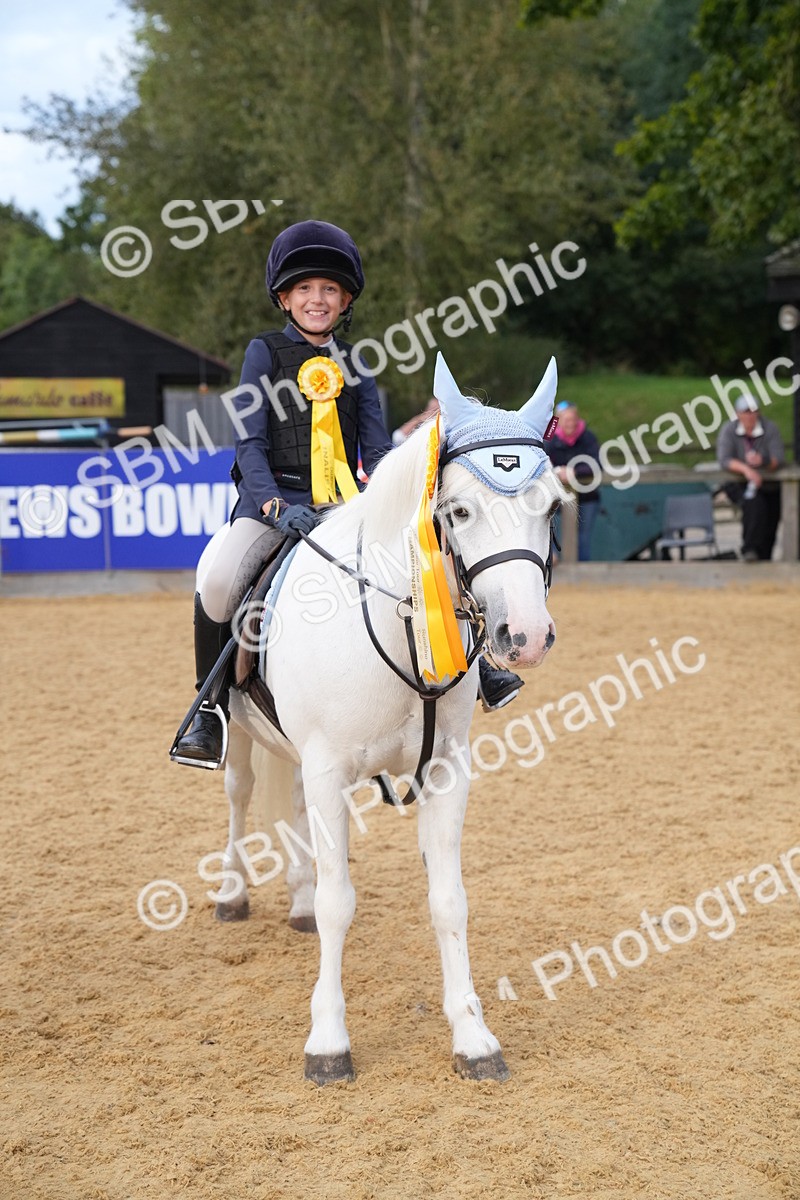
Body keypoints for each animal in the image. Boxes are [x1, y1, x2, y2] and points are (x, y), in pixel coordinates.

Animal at [195, 352, 567, 1084]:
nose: (526, 636)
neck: (400, 622)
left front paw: (473, 1038)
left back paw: (296, 901)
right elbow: (341, 902)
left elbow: (449, 900)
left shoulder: (445, 772)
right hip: (242, 736)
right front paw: (328, 1043)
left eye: (551, 506)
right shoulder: (329, 767)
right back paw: (232, 893)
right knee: (240, 797)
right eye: (458, 509)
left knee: (292, 816)